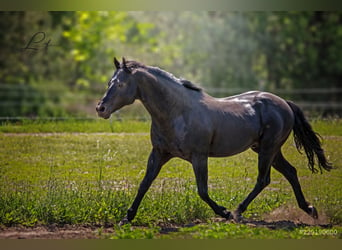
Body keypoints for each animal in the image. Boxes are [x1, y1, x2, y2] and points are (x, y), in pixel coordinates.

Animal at [96, 57, 332, 225]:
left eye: (120, 84)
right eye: (109, 82)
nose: (101, 108)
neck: (177, 112)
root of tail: (284, 102)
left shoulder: (199, 157)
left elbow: (202, 190)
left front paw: (225, 212)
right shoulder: (159, 153)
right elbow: (144, 184)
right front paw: (127, 217)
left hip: (268, 148)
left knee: (263, 180)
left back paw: (238, 211)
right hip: (267, 150)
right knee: (290, 172)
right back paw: (310, 210)